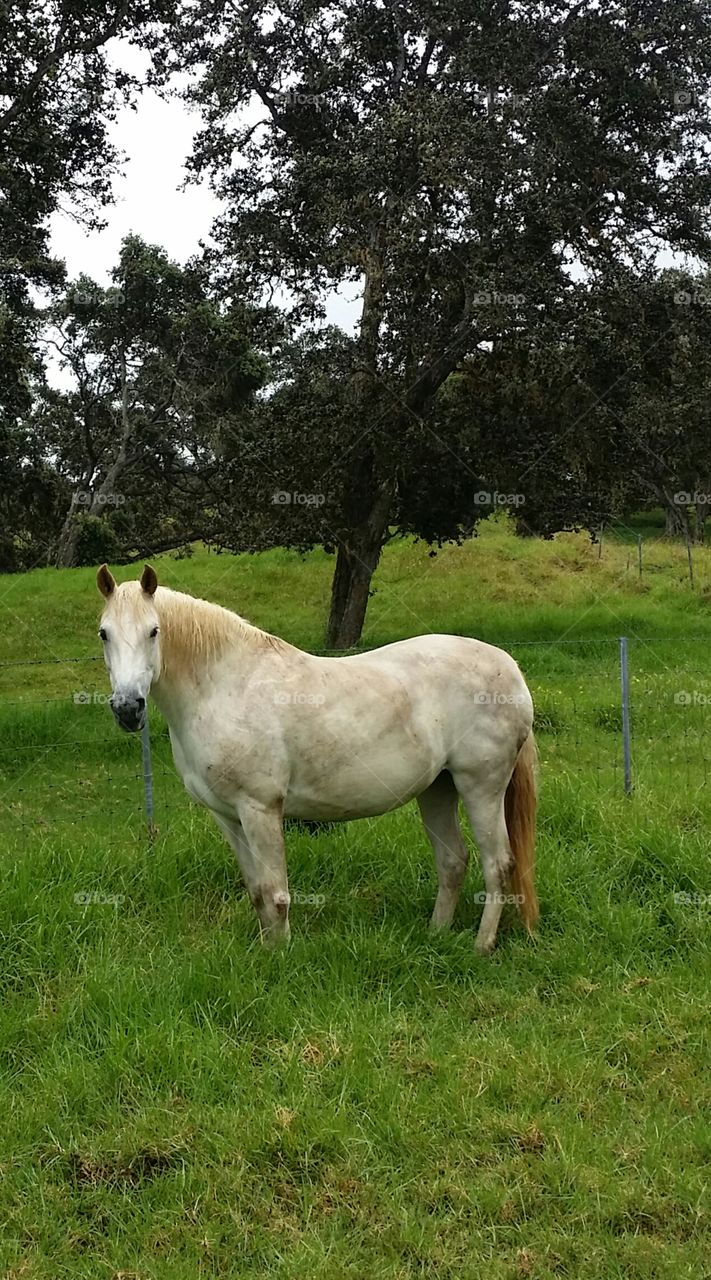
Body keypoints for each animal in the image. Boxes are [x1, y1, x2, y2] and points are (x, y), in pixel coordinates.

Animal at [96, 563, 538, 952]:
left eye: (154, 631)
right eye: (104, 634)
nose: (128, 708)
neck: (225, 686)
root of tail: (511, 669)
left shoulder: (260, 809)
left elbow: (275, 892)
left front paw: (280, 957)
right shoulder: (227, 815)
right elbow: (256, 892)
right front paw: (266, 951)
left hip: (481, 787)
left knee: (498, 864)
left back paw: (482, 946)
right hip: (437, 789)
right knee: (452, 862)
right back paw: (436, 935)